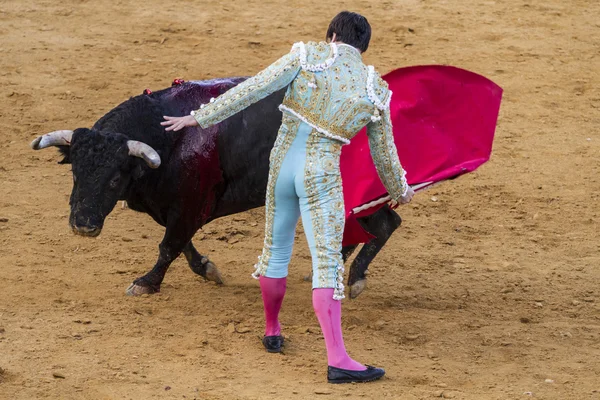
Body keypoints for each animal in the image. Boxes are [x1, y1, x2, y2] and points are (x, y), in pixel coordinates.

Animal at [30, 78, 400, 298]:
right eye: (76, 172)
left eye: (114, 178)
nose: (83, 225)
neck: (168, 138)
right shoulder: (174, 208)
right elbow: (181, 245)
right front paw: (205, 268)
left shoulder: (190, 206)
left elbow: (169, 246)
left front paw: (146, 283)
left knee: (385, 224)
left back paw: (354, 279)